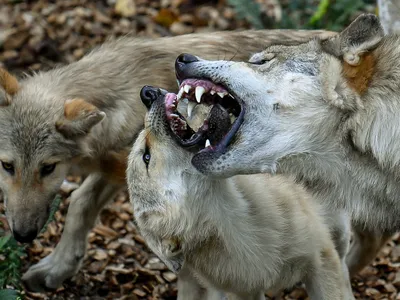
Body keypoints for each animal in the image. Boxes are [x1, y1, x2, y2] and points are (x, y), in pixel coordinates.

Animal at [0, 29, 336, 292]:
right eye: (7, 166)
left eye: (48, 168)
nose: (22, 235)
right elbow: (78, 204)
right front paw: (58, 267)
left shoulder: (128, 170)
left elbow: (80, 203)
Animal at [126, 86, 354, 300]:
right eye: (146, 157)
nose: (147, 92)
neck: (242, 225)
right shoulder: (246, 292)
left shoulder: (321, 259)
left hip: (339, 234)